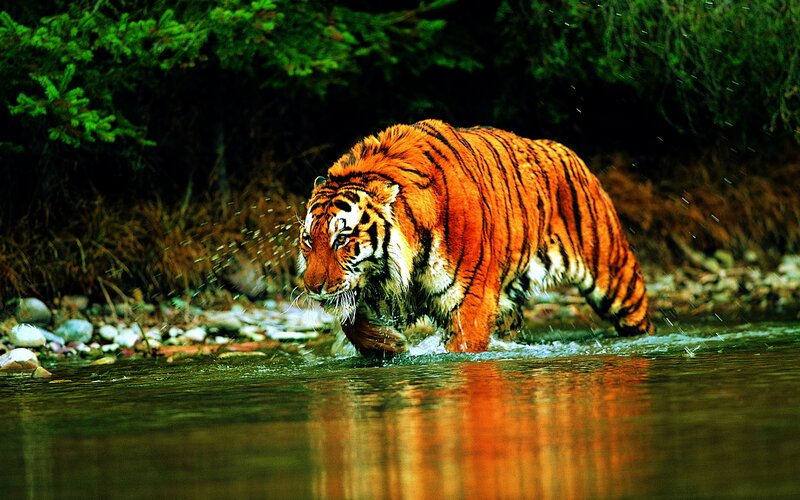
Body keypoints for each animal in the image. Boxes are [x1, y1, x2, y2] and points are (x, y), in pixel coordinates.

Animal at [297, 119, 654, 357]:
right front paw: (389, 343)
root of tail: (566, 150)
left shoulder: (470, 302)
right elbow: (351, 322)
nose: (312, 288)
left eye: (342, 239)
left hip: (615, 278)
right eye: (309, 241)